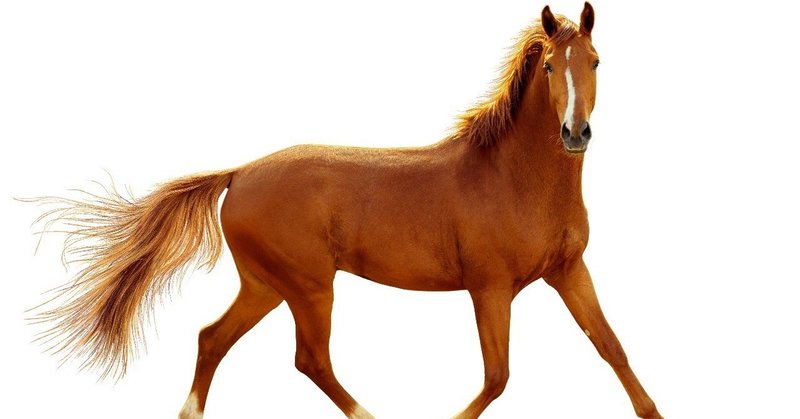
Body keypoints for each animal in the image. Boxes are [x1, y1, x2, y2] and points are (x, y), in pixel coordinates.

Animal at [28, 3, 662, 418]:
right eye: (552, 66)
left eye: (597, 61)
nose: (575, 133)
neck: (514, 179)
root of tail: (239, 172)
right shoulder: (490, 287)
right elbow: (498, 375)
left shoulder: (568, 271)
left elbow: (613, 348)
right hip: (310, 288)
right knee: (310, 360)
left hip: (266, 285)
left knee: (212, 338)